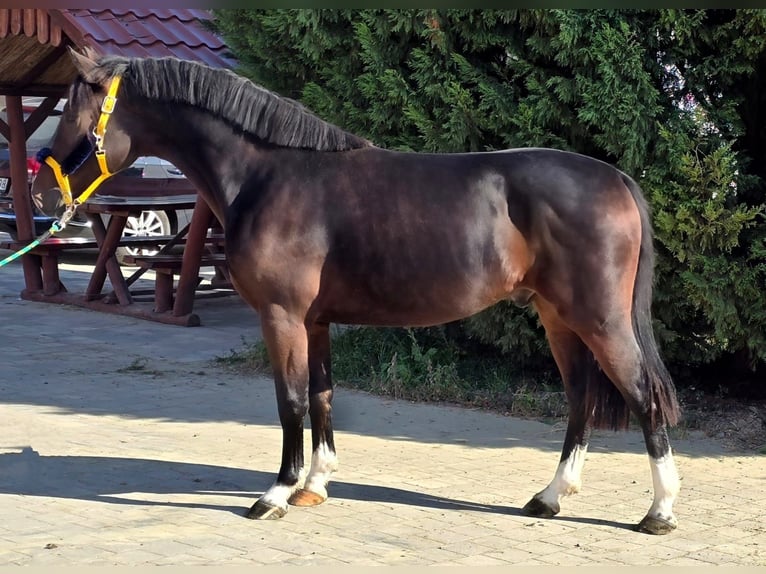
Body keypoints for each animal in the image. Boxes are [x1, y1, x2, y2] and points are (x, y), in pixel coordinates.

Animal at [31, 48, 681, 535]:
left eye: (73, 109)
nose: (41, 192)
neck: (267, 175)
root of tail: (617, 179)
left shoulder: (282, 317)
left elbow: (291, 402)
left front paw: (276, 493)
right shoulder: (314, 321)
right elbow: (321, 396)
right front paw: (315, 485)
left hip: (598, 319)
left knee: (644, 396)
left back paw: (658, 512)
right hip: (558, 319)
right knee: (581, 400)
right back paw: (549, 497)